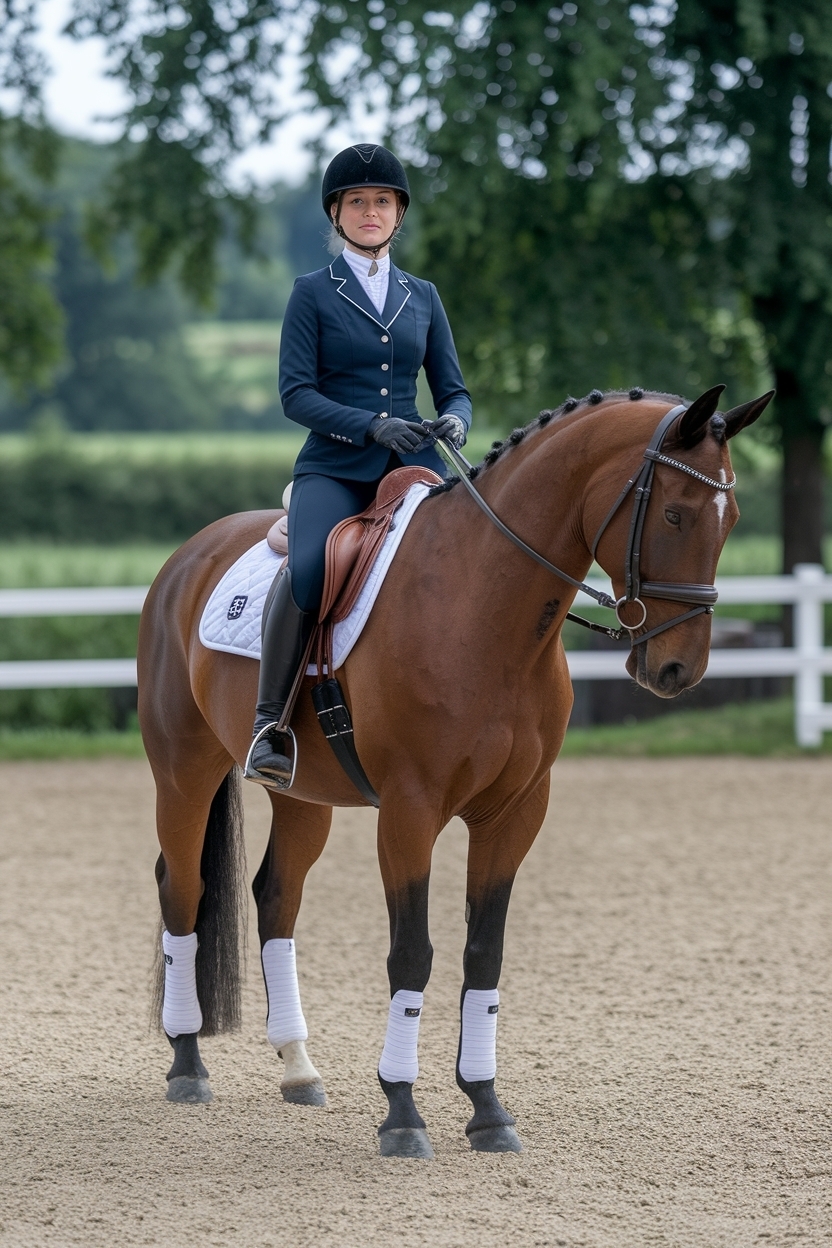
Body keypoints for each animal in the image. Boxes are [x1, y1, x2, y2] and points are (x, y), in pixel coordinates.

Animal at [138, 384, 772, 1158]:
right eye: (676, 512)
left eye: (729, 518)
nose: (679, 669)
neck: (484, 607)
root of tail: (191, 553)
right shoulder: (410, 812)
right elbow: (413, 954)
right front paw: (403, 1113)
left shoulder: (515, 812)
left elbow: (483, 954)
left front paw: (488, 1108)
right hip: (183, 770)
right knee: (183, 888)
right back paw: (187, 1063)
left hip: (303, 796)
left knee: (275, 897)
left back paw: (297, 1067)